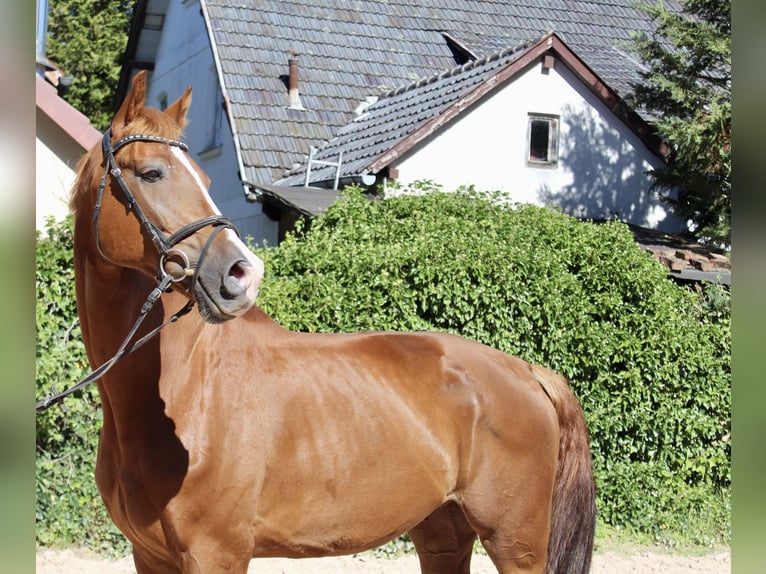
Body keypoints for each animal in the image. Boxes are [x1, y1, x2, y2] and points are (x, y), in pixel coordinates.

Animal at [68, 70, 595, 573]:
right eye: (151, 172)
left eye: (204, 178)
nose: (242, 274)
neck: (184, 390)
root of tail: (530, 373)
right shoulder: (150, 557)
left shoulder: (216, 554)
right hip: (442, 534)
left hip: (516, 545)